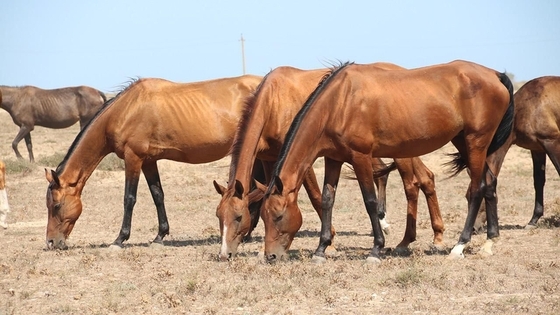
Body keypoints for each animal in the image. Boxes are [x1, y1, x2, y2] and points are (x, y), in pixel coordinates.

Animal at [43, 75, 262, 251]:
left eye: (56, 205)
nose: (52, 242)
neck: (126, 110)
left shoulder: (133, 158)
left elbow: (129, 198)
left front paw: (119, 239)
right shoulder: (149, 161)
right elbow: (158, 195)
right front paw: (159, 236)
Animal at [212, 64, 444, 262]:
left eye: (238, 217)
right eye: (219, 217)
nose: (224, 254)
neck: (274, 100)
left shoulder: (303, 162)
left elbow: (316, 197)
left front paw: (329, 244)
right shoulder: (271, 160)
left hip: (403, 151)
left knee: (412, 184)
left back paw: (416, 238)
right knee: (423, 178)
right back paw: (432, 235)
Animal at [260, 60, 516, 262]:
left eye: (278, 216)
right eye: (263, 217)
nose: (270, 256)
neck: (339, 102)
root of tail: (495, 74)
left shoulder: (361, 157)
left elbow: (370, 201)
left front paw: (376, 249)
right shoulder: (334, 159)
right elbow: (327, 200)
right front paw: (321, 250)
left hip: (476, 143)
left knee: (476, 189)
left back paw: (459, 246)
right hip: (464, 142)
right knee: (489, 183)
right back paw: (490, 242)